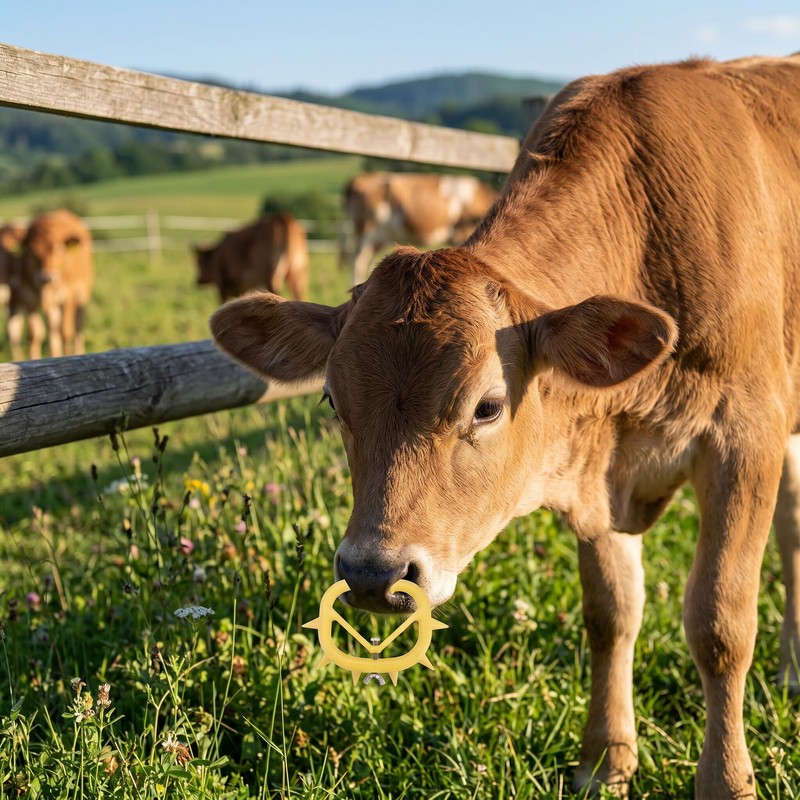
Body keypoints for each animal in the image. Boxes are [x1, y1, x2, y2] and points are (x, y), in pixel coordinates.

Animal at [8, 210, 93, 360]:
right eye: (30, 251)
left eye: (58, 249)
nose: (46, 278)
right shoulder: (29, 300)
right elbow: (34, 335)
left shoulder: (68, 296)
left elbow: (66, 332)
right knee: (54, 331)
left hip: (82, 295)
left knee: (77, 326)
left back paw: (78, 351)